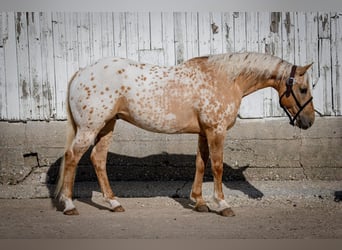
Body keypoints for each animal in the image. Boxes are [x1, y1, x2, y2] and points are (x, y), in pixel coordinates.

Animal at [55, 51, 316, 216]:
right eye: (303, 89)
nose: (309, 121)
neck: (225, 78)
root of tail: (81, 72)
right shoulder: (216, 131)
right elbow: (217, 166)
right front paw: (222, 204)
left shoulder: (204, 132)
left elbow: (201, 163)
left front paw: (199, 202)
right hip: (90, 127)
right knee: (72, 157)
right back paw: (69, 205)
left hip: (107, 125)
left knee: (98, 159)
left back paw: (113, 203)